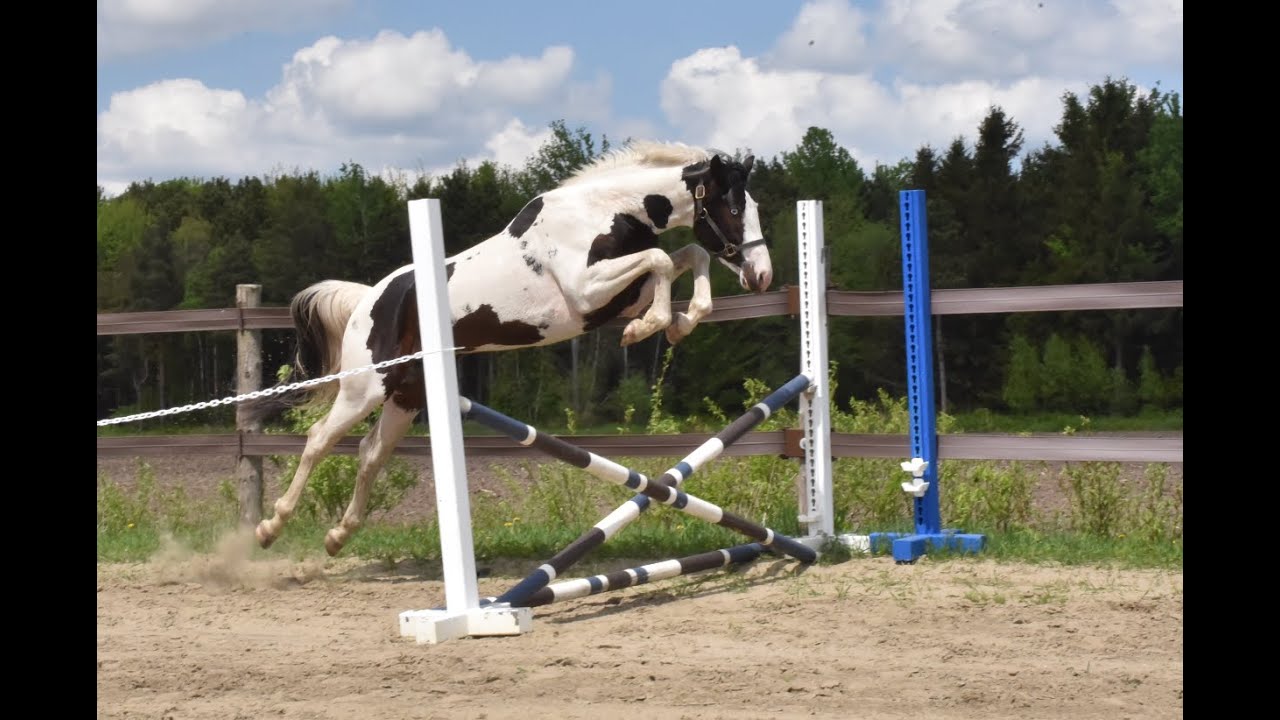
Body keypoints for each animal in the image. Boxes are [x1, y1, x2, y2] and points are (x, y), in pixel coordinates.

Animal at [246, 140, 773, 556]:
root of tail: (366, 301)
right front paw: (648, 329)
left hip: (408, 394)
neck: (607, 210)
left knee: (371, 452)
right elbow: (664, 258)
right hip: (365, 388)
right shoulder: (588, 290)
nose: (761, 275)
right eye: (733, 208)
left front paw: (677, 323)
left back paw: (339, 536)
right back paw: (271, 526)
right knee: (319, 439)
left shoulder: (620, 294)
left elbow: (686, 256)